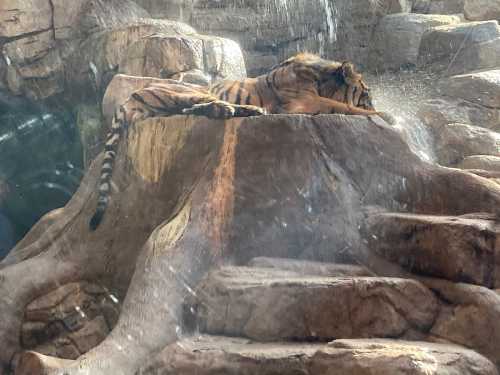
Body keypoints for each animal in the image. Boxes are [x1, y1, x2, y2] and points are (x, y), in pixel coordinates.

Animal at [89, 52, 390, 229]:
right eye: (367, 92)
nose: (375, 100)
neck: (319, 76)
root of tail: (131, 96)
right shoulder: (302, 101)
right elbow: (343, 106)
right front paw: (384, 113)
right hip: (187, 91)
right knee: (205, 105)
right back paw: (244, 110)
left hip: (179, 101)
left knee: (199, 109)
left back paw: (247, 111)